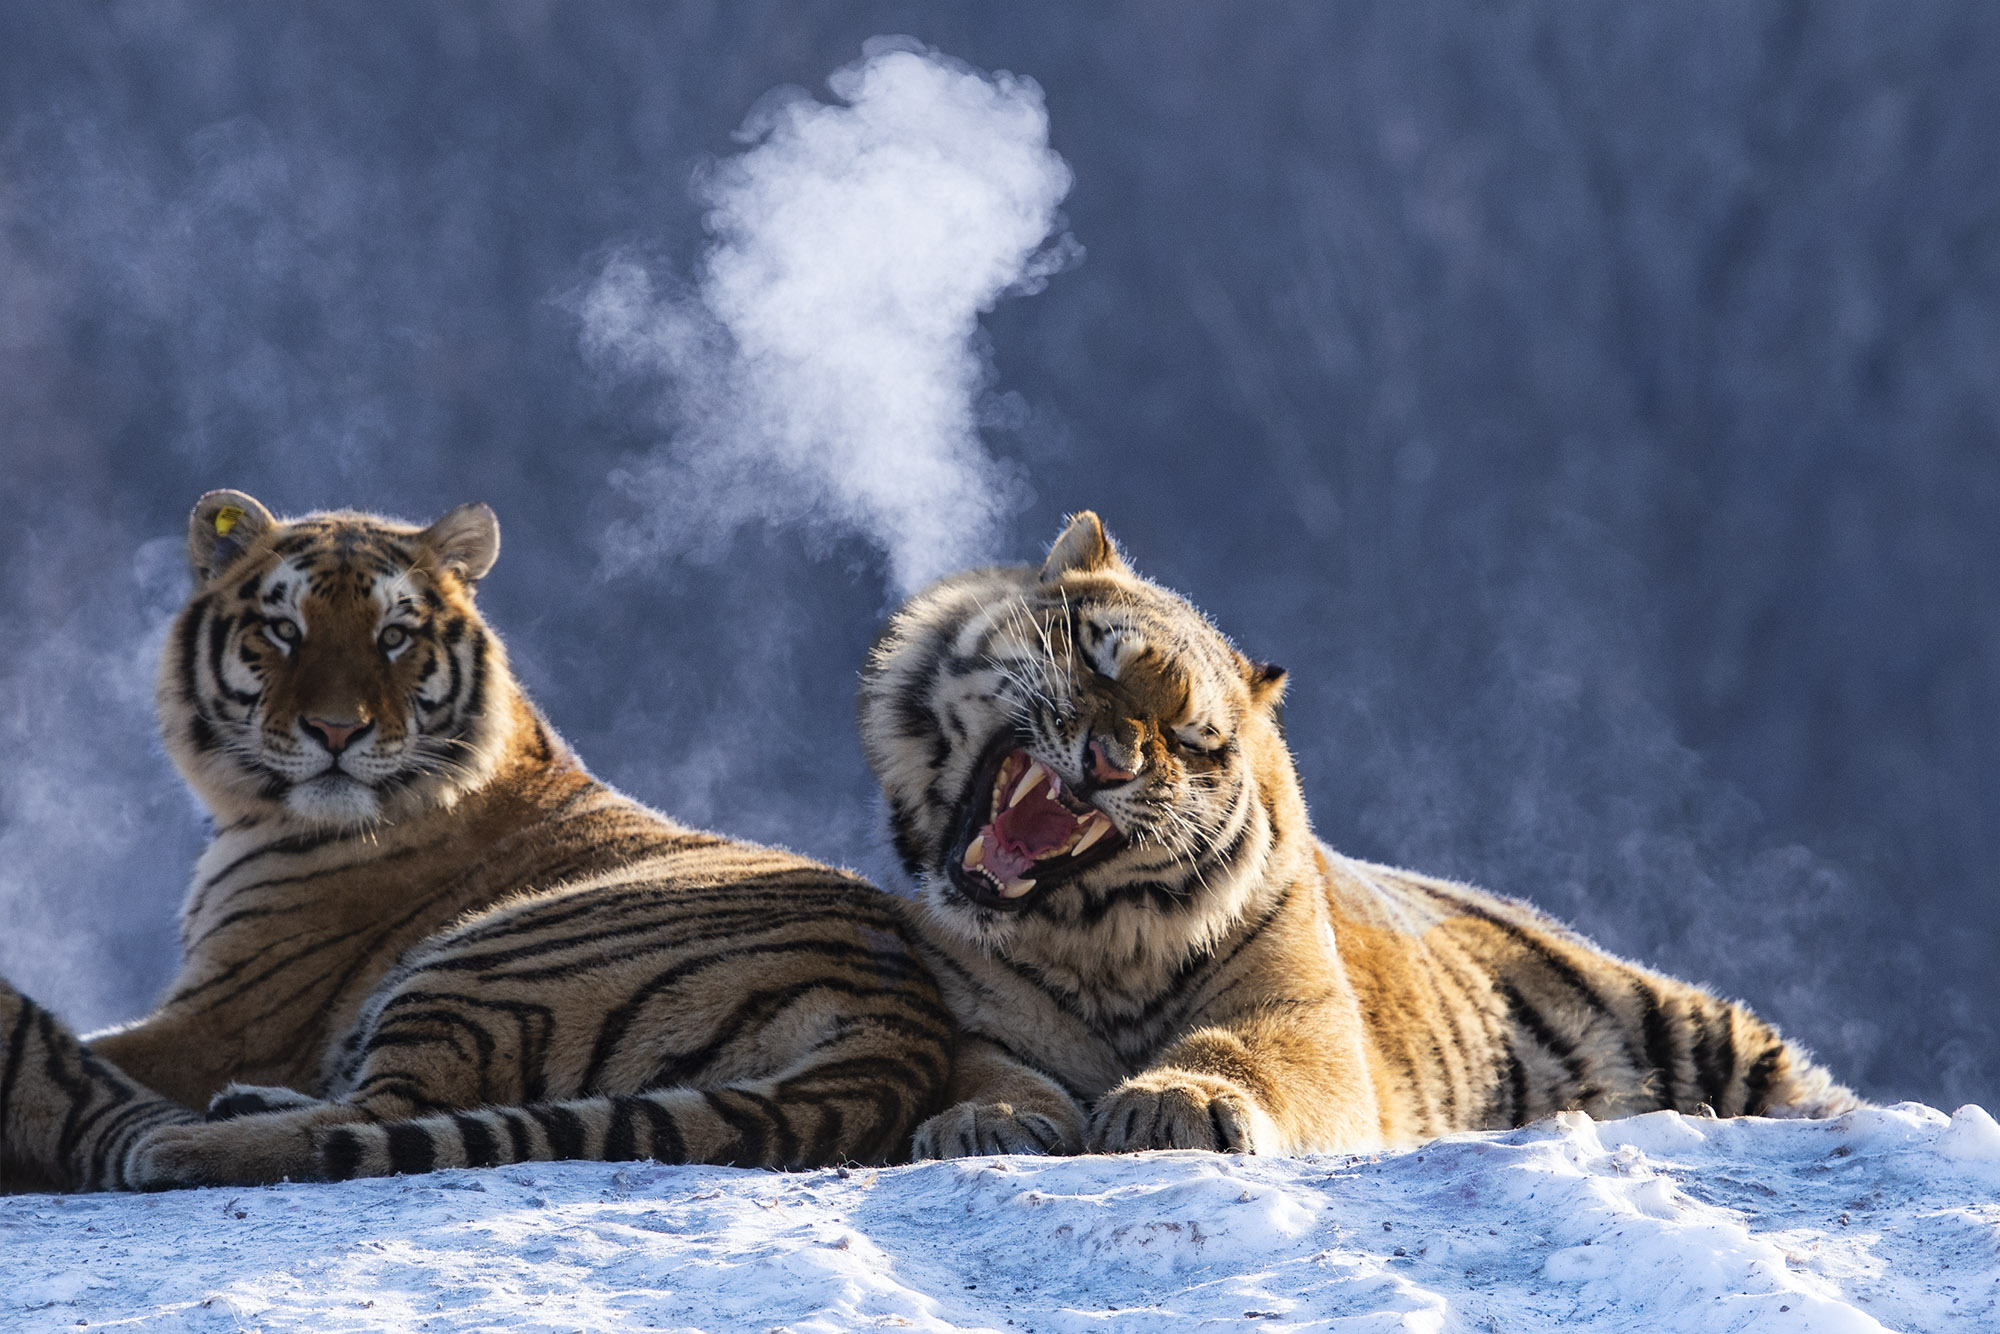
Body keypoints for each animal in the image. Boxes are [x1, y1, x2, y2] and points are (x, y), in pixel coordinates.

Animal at [0, 488, 952, 1192]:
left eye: (395, 635)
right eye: (283, 629)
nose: (336, 731)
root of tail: (906, 1028)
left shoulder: (225, 1016)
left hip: (495, 951)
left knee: (381, 1115)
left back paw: (180, 1146)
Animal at [860, 512, 1856, 1160]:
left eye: (1191, 738)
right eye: (1100, 661)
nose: (1113, 761)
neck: (1096, 939)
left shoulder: (1304, 1011)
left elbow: (1243, 1052)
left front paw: (1173, 1103)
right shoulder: (968, 1015)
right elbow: (983, 1072)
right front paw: (986, 1122)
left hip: (1702, 1029)